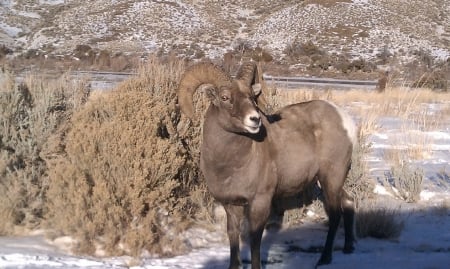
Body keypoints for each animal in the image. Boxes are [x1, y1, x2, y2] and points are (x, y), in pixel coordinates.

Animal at [178, 61, 356, 268]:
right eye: (225, 97)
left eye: (251, 97)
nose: (254, 119)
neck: (229, 165)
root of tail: (345, 121)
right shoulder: (231, 204)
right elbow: (233, 235)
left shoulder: (260, 201)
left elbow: (255, 238)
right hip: (327, 181)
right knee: (349, 202)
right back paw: (348, 248)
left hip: (331, 178)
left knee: (335, 214)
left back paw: (324, 259)